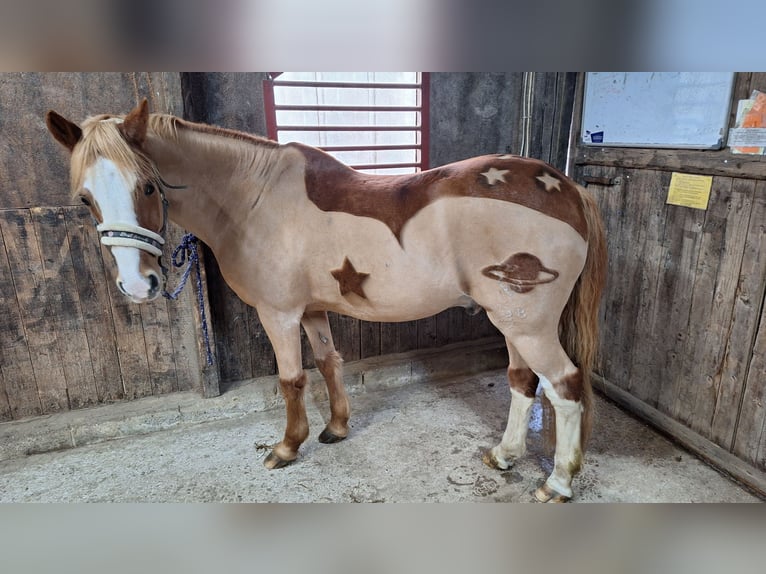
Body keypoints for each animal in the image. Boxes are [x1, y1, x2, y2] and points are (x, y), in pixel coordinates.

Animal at [46, 99, 606, 502]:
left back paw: (557, 483)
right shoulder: (313, 311)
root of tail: (568, 189)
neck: (253, 200)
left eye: (146, 186)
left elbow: (291, 380)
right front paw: (336, 428)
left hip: (528, 325)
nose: (138, 286)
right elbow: (329, 362)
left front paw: (287, 447)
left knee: (564, 387)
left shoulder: (278, 314)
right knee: (522, 382)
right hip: (510, 323)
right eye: (85, 199)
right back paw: (505, 455)